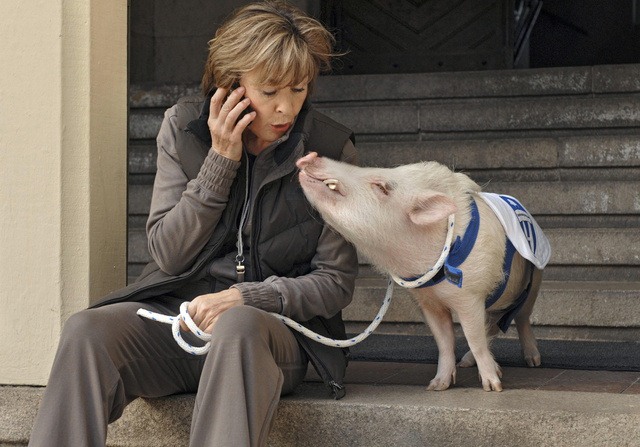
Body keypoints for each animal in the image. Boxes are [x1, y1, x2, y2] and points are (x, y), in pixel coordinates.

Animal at [298, 152, 548, 394]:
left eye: (382, 186)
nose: (310, 156)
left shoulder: (470, 295)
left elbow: (473, 337)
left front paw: (493, 388)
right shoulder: (427, 302)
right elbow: (444, 341)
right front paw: (436, 386)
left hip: (534, 280)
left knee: (521, 317)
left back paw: (533, 362)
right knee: (494, 323)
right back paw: (467, 363)